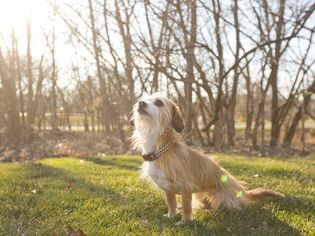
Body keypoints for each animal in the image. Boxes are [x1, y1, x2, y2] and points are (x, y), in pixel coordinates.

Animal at [130, 93, 284, 225]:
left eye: (159, 102)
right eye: (141, 99)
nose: (141, 103)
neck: (161, 150)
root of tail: (243, 193)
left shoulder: (186, 188)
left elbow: (186, 207)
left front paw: (184, 222)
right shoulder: (168, 189)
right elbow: (172, 203)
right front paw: (170, 216)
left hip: (220, 196)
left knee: (229, 207)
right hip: (199, 194)